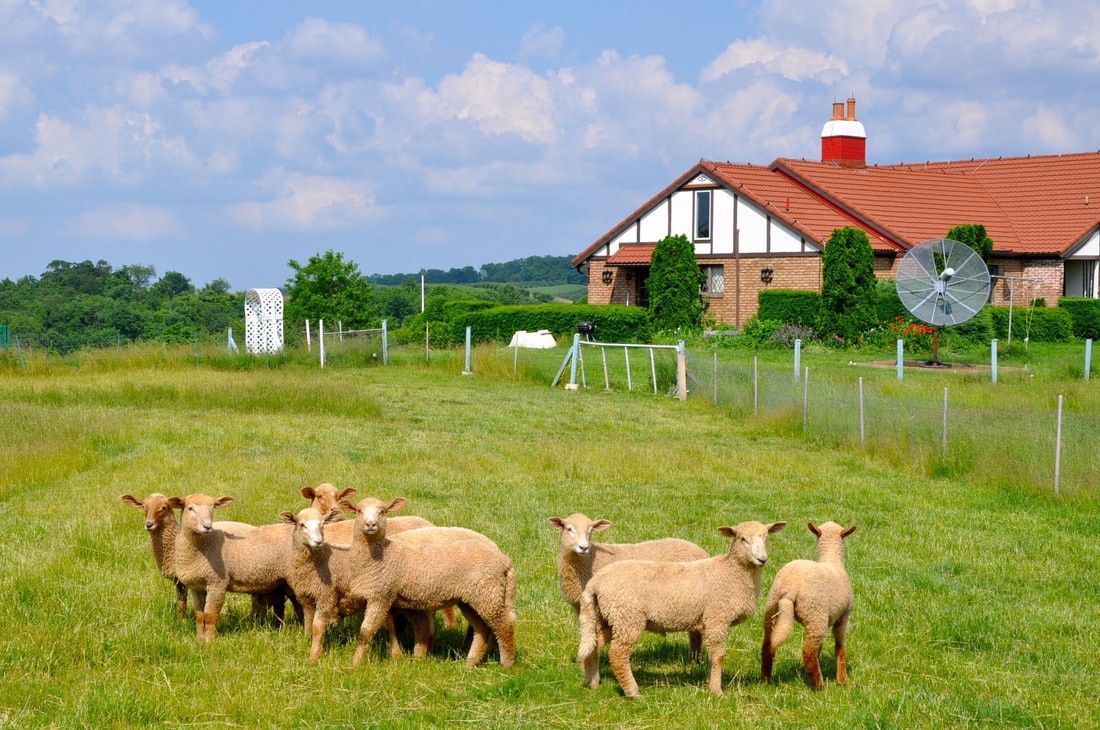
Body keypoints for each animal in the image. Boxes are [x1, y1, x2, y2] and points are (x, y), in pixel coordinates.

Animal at [166, 492, 301, 642]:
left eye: (212, 507)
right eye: (190, 508)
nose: (207, 526)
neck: (203, 546)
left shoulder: (217, 583)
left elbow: (210, 616)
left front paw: (210, 641)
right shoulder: (197, 587)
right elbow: (200, 616)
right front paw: (200, 640)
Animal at [277, 507, 426, 659]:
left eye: (322, 525)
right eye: (302, 525)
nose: (318, 542)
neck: (319, 560)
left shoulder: (326, 596)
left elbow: (317, 627)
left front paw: (314, 656)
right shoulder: (306, 596)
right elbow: (308, 621)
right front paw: (307, 640)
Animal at [338, 496, 514, 668]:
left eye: (382, 511)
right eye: (359, 511)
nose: (370, 524)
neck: (383, 555)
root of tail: (504, 560)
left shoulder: (380, 595)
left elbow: (366, 632)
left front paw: (355, 665)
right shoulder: (388, 598)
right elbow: (391, 628)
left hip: (488, 595)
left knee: (504, 626)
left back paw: (507, 664)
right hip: (471, 600)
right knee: (482, 629)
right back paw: (470, 663)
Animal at [580, 518, 787, 694]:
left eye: (766, 537)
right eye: (743, 539)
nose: (762, 559)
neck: (730, 573)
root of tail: (596, 582)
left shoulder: (710, 622)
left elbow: (711, 656)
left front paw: (708, 682)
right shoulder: (717, 618)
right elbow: (719, 656)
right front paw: (717, 691)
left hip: (610, 617)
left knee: (594, 643)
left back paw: (593, 683)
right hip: (628, 618)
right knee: (617, 655)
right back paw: (633, 692)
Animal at [761, 518, 853, 690]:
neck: (832, 560)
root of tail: (789, 589)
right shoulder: (843, 616)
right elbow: (840, 647)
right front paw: (843, 680)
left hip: (772, 610)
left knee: (767, 645)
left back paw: (766, 680)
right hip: (816, 614)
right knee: (808, 651)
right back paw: (820, 686)